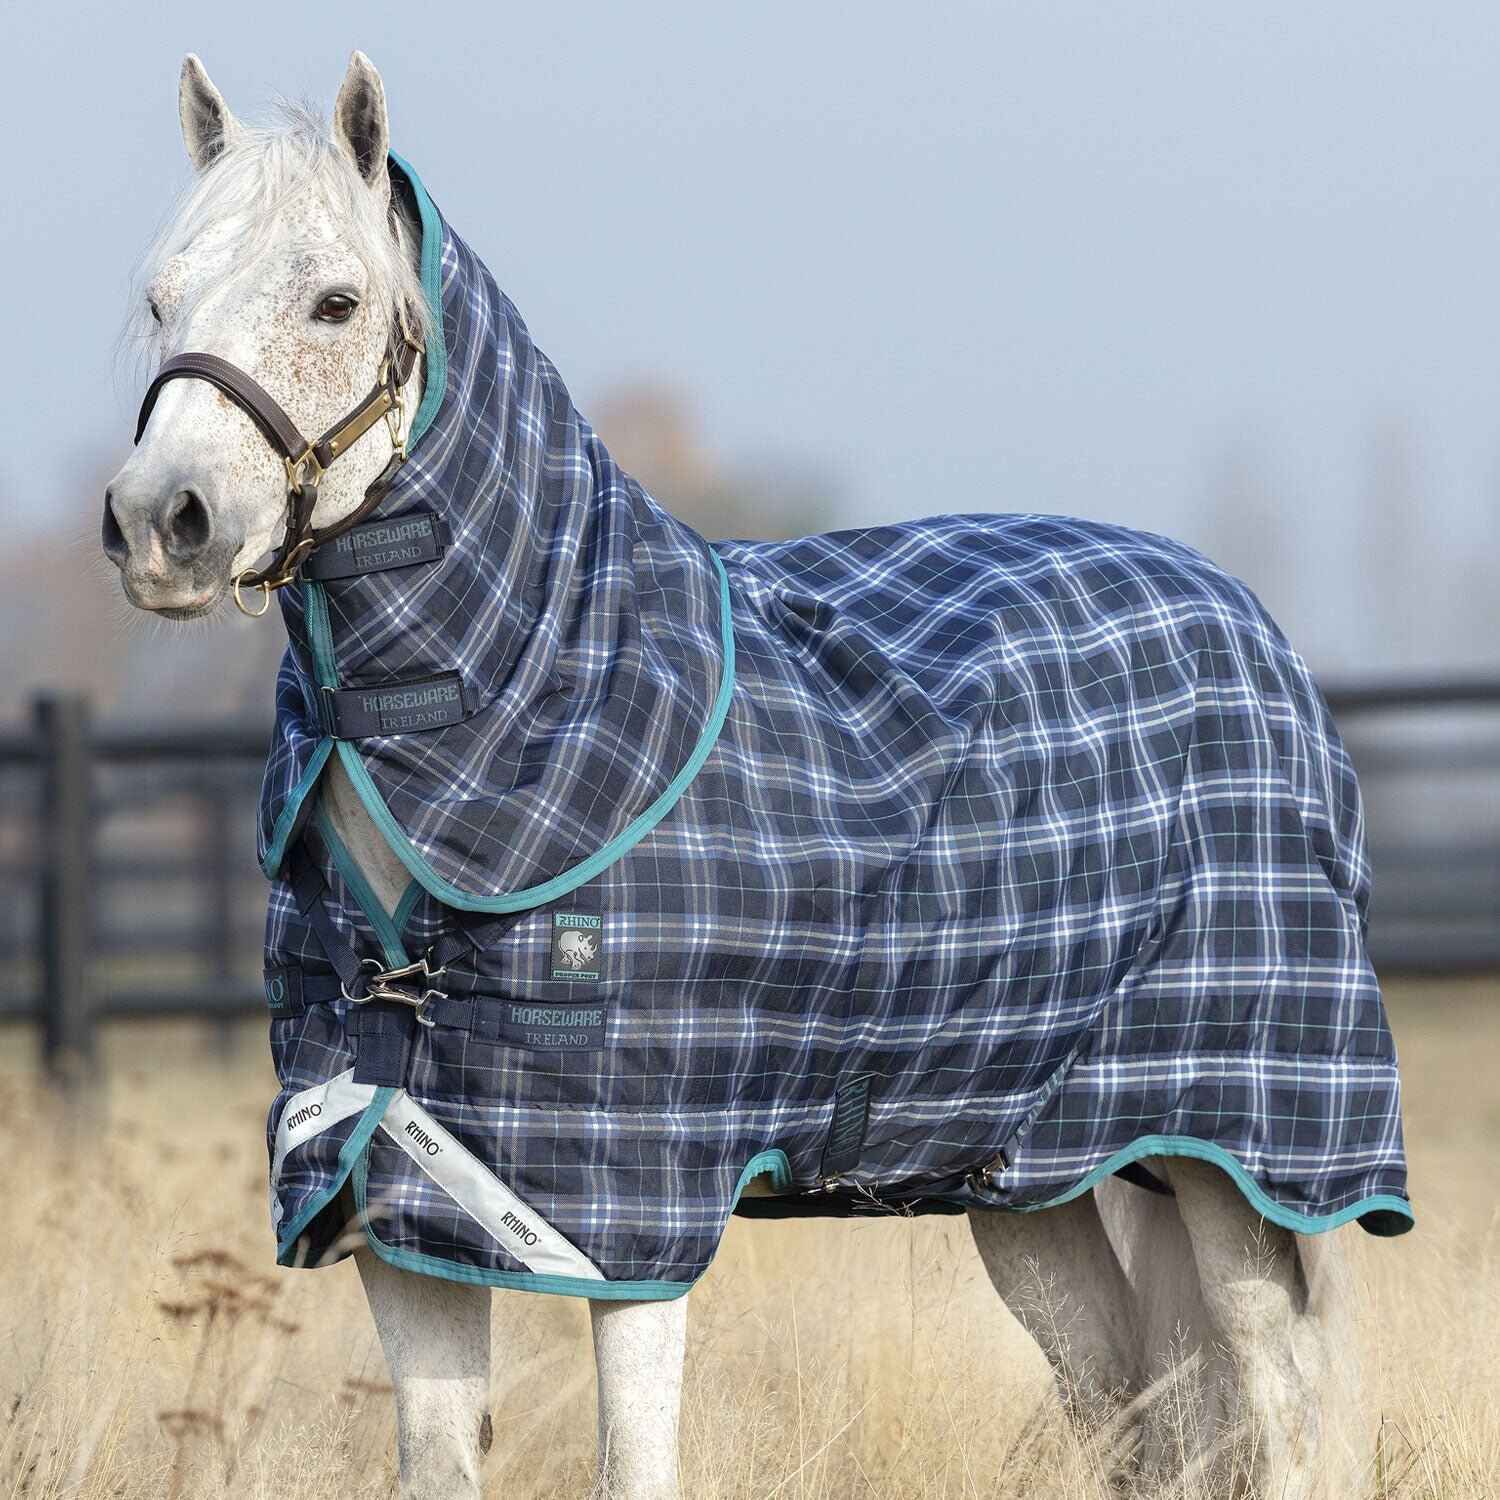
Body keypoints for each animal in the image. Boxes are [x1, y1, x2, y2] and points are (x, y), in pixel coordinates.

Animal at [103, 52, 1411, 1500]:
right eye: (160, 298)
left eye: (334, 300)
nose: (162, 523)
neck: (545, 696)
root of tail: (1250, 627)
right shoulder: (399, 1195)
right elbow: (438, 1463)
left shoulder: (621, 1225)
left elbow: (634, 1464)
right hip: (1041, 1177)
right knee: (1135, 1412)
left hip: (1238, 1164)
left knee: (1276, 1410)